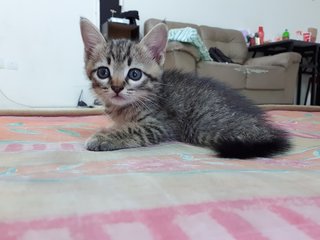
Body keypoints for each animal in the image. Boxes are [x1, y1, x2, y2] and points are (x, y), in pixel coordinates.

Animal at [79, 17, 290, 158]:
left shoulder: (162, 124)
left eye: (134, 74)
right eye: (103, 72)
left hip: (203, 126)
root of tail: (264, 127)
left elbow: (134, 130)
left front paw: (104, 138)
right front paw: (108, 129)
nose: (116, 88)